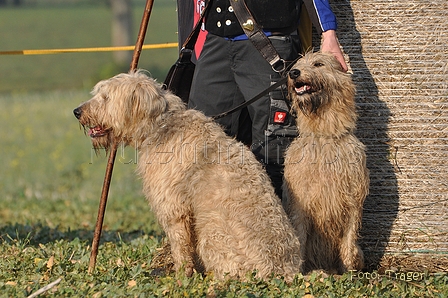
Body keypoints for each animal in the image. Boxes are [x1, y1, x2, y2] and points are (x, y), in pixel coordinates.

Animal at [73, 71, 302, 280]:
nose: (77, 111)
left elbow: (180, 245)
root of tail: (284, 273)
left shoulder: (174, 209)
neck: (160, 125)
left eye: (106, 97)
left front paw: (181, 275)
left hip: (211, 232)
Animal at [284, 52, 368, 274]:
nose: (293, 72)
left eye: (318, 64)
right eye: (297, 64)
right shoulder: (300, 205)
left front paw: (348, 273)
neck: (324, 135)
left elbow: (349, 240)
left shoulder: (353, 202)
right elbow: (300, 237)